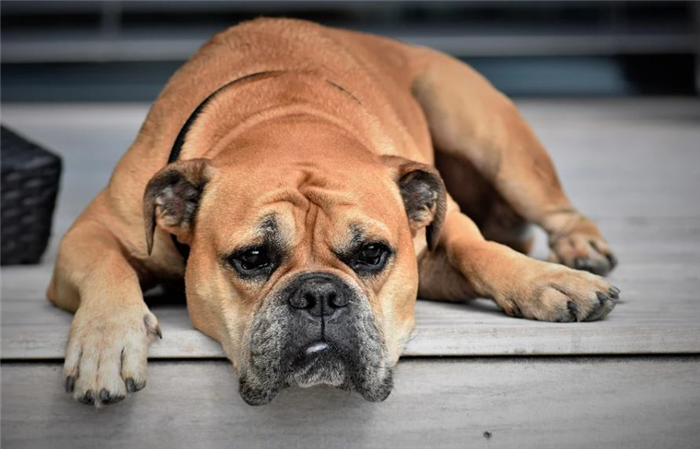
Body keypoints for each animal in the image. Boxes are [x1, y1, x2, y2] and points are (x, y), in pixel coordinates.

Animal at [47, 19, 616, 406]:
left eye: (372, 254)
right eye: (252, 258)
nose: (319, 294)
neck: (287, 117)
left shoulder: (441, 236)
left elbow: (479, 250)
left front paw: (547, 281)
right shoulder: (90, 232)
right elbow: (107, 265)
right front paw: (105, 342)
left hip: (488, 133)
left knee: (554, 208)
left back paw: (579, 249)